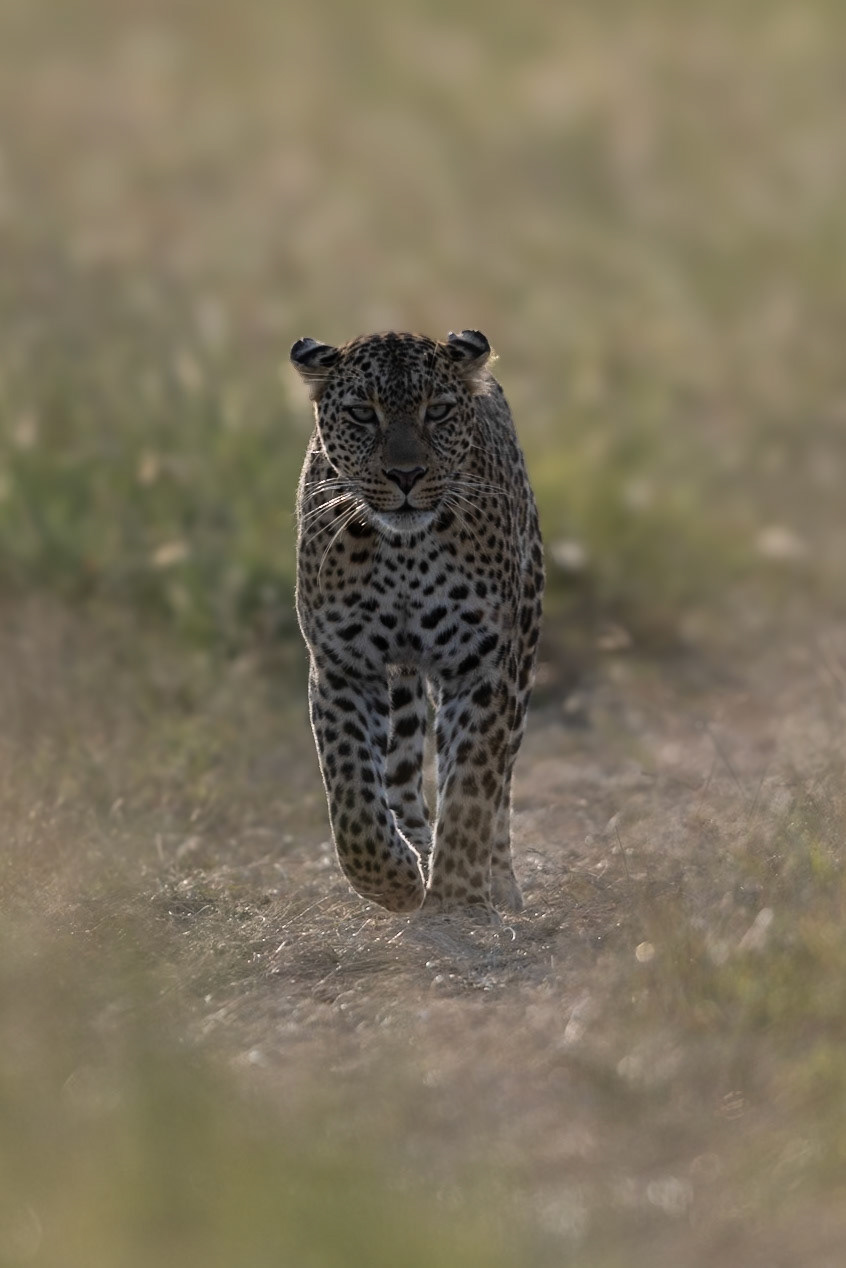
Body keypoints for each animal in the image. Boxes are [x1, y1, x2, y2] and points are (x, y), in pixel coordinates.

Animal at [291, 329, 544, 919]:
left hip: (524, 647)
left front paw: (459, 896)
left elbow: (473, 785)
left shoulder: (482, 664)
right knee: (401, 773)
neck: (405, 551)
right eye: (363, 414)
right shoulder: (343, 665)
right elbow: (351, 795)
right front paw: (394, 879)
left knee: (501, 784)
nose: (405, 476)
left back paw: (499, 882)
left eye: (439, 412)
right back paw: (416, 848)